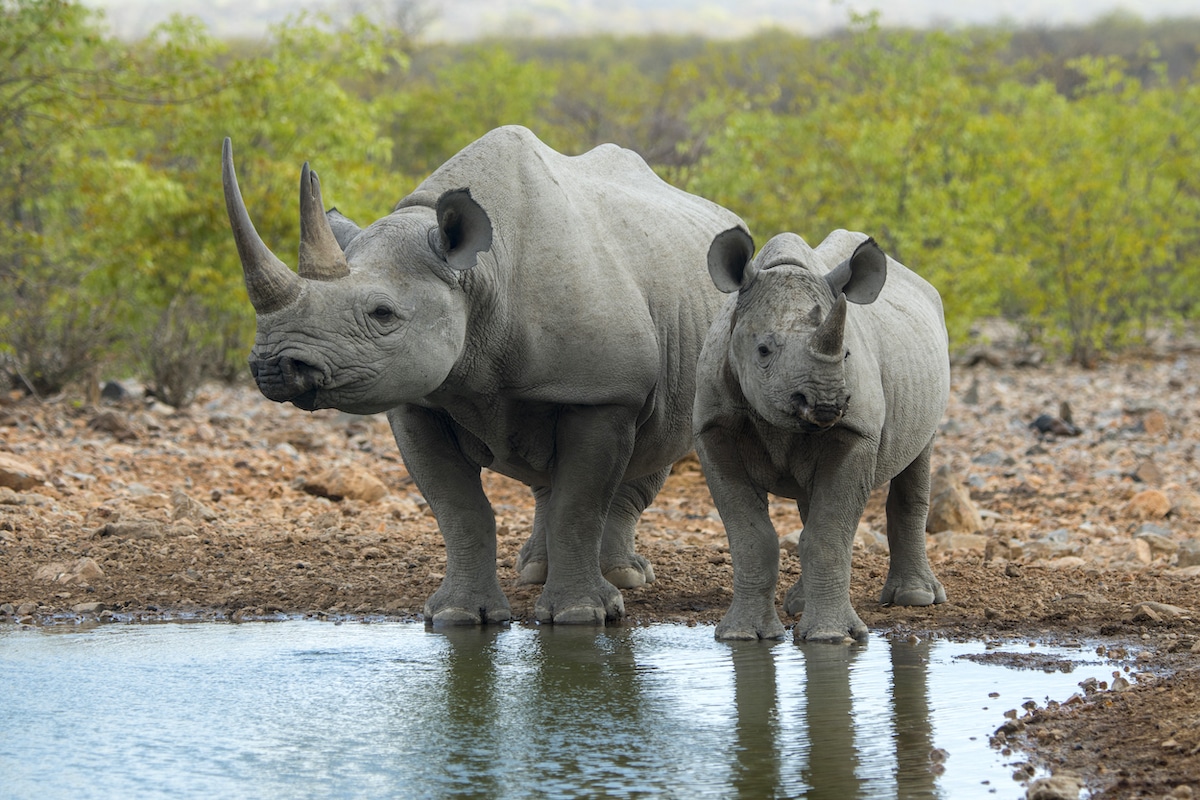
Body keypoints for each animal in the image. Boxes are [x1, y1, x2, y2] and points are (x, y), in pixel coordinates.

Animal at [221, 125, 746, 626]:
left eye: (383, 314)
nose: (274, 365)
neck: (479, 276)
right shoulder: (417, 400)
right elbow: (458, 508)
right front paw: (456, 616)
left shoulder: (603, 392)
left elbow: (579, 507)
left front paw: (581, 615)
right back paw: (535, 571)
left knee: (651, 447)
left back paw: (623, 578)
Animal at [694, 228, 950, 642]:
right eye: (763, 350)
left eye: (845, 354)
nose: (826, 401)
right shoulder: (714, 427)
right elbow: (752, 537)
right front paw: (741, 636)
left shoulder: (855, 430)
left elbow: (829, 534)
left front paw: (832, 637)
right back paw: (798, 604)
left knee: (919, 455)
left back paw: (916, 598)